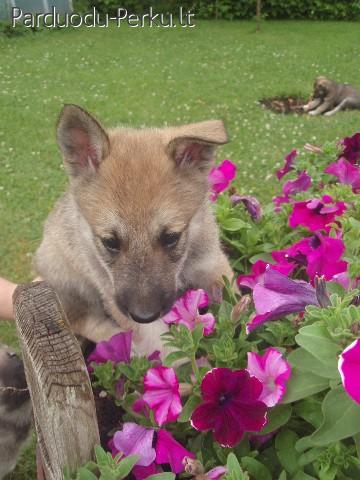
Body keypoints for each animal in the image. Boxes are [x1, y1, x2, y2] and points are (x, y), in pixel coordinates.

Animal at [35, 107, 235, 358]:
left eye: (171, 238)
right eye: (110, 241)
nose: (144, 315)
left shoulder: (213, 265)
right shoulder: (113, 296)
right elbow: (165, 350)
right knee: (86, 322)